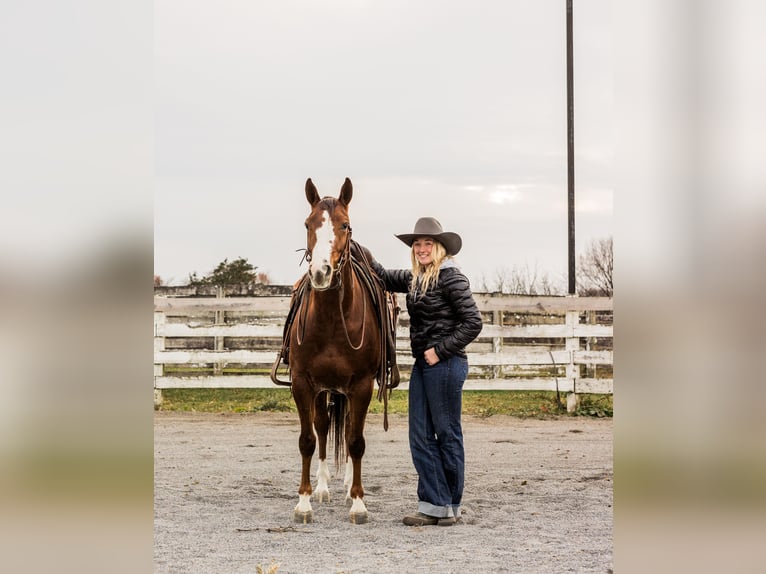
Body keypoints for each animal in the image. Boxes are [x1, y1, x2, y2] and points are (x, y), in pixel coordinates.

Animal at [282, 178, 392, 524]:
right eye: (308, 224)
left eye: (345, 224)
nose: (321, 273)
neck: (331, 320)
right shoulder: (303, 383)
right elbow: (308, 440)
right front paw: (304, 502)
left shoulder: (361, 385)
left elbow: (355, 441)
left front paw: (358, 503)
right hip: (324, 390)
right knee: (323, 427)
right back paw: (323, 487)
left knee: (347, 431)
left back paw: (346, 489)